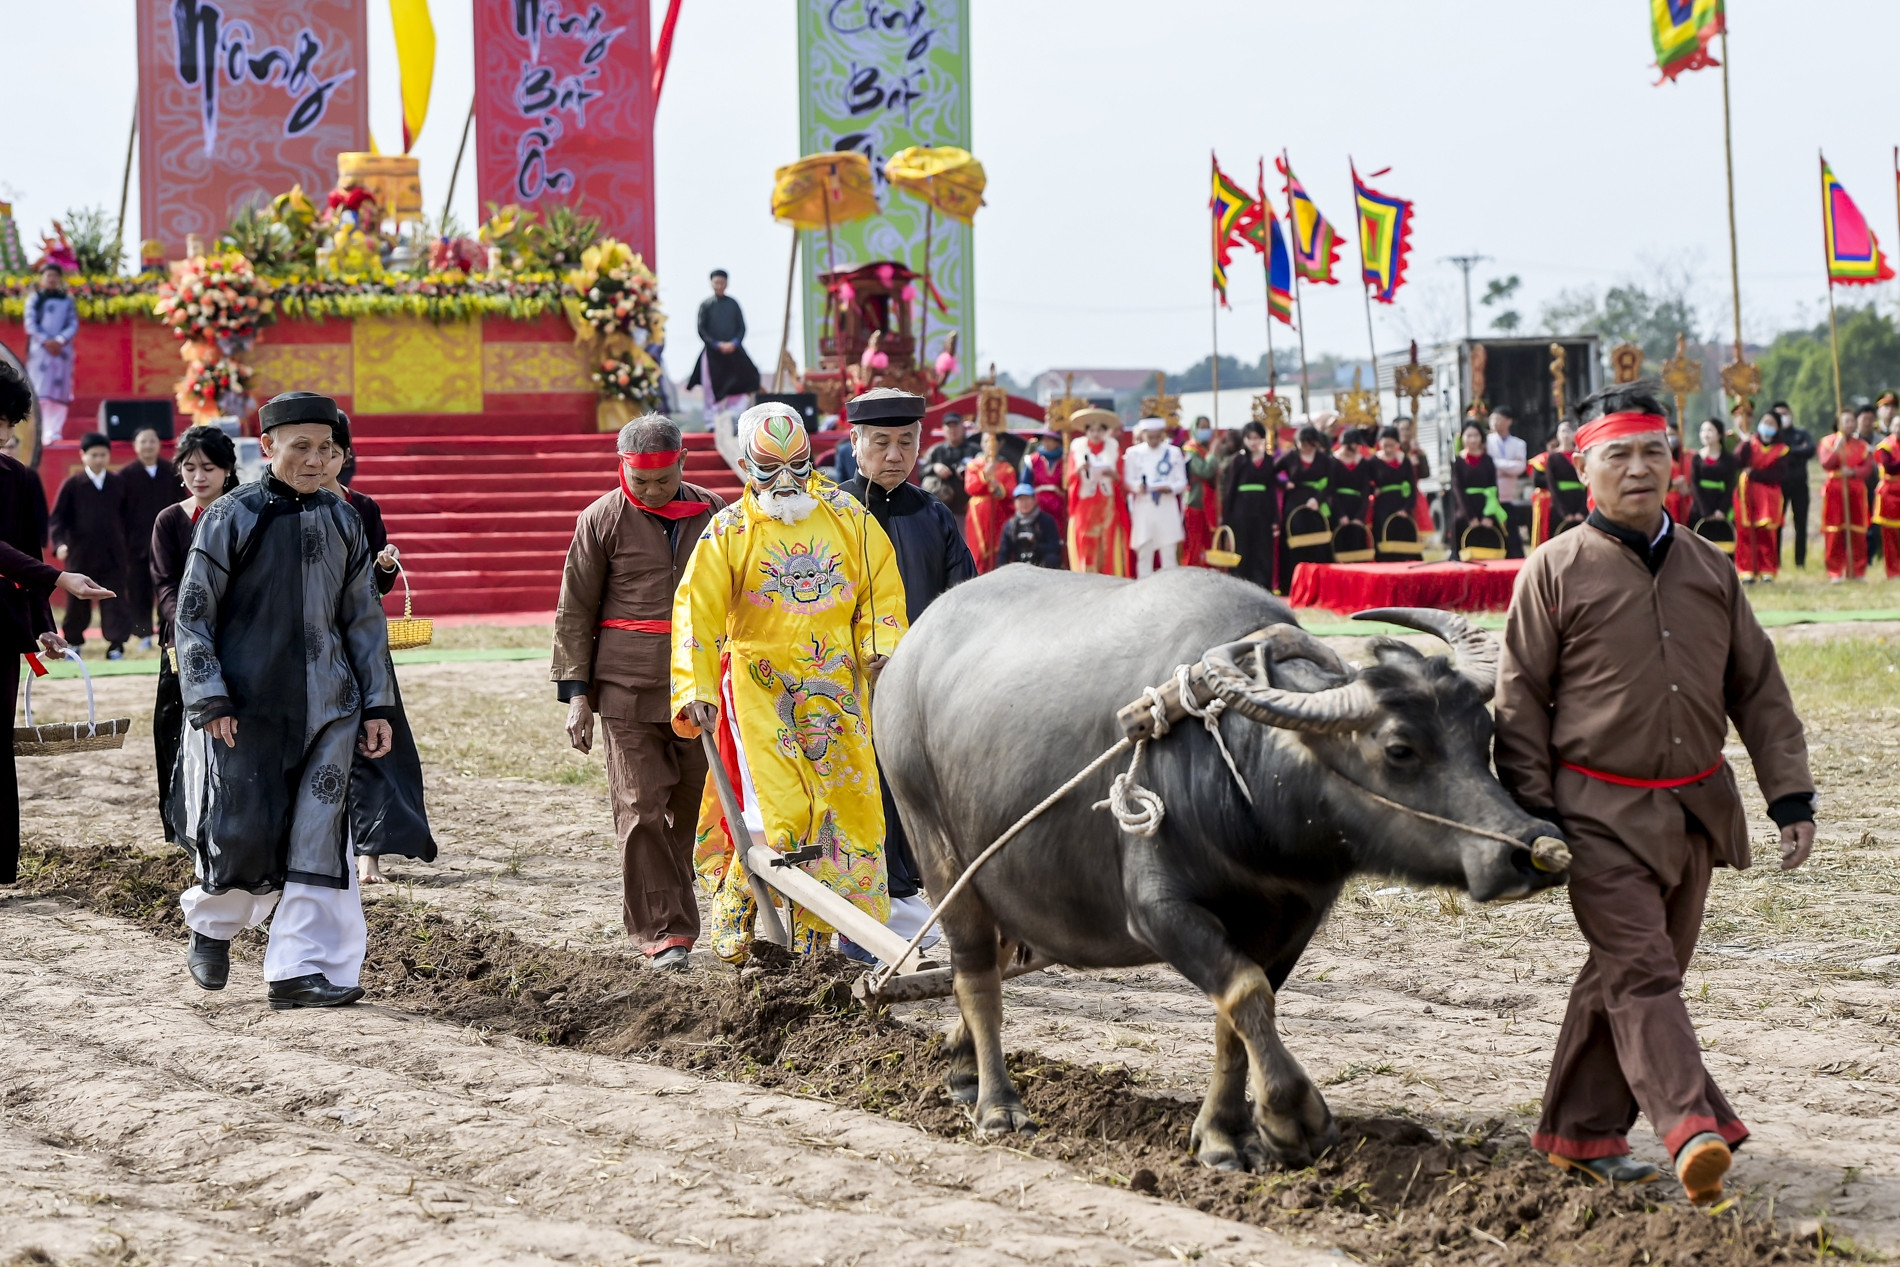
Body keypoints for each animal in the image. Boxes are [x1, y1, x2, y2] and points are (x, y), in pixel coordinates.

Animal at [870, 569, 1565, 1177]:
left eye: (1484, 731)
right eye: (1398, 750)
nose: (1532, 849)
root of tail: (908, 655)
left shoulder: (1291, 920)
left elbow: (1240, 1016)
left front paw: (1224, 1136)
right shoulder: (1160, 912)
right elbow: (1246, 994)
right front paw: (1293, 1119)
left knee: (984, 962)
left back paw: (962, 1068)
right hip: (939, 854)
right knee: (975, 974)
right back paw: (998, 1105)